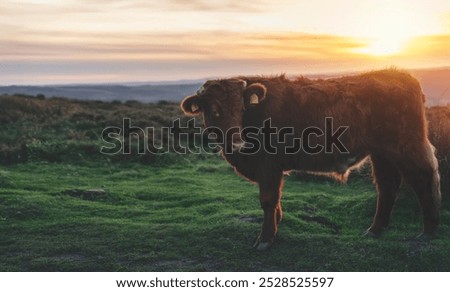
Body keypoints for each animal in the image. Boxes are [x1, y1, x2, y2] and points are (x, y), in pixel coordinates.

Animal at [179, 69, 440, 251]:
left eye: (241, 108)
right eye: (213, 110)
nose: (236, 141)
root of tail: (399, 73)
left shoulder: (268, 164)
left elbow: (268, 199)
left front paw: (265, 239)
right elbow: (275, 200)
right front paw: (276, 225)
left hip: (407, 145)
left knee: (422, 180)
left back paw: (428, 231)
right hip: (382, 152)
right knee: (387, 186)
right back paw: (375, 230)